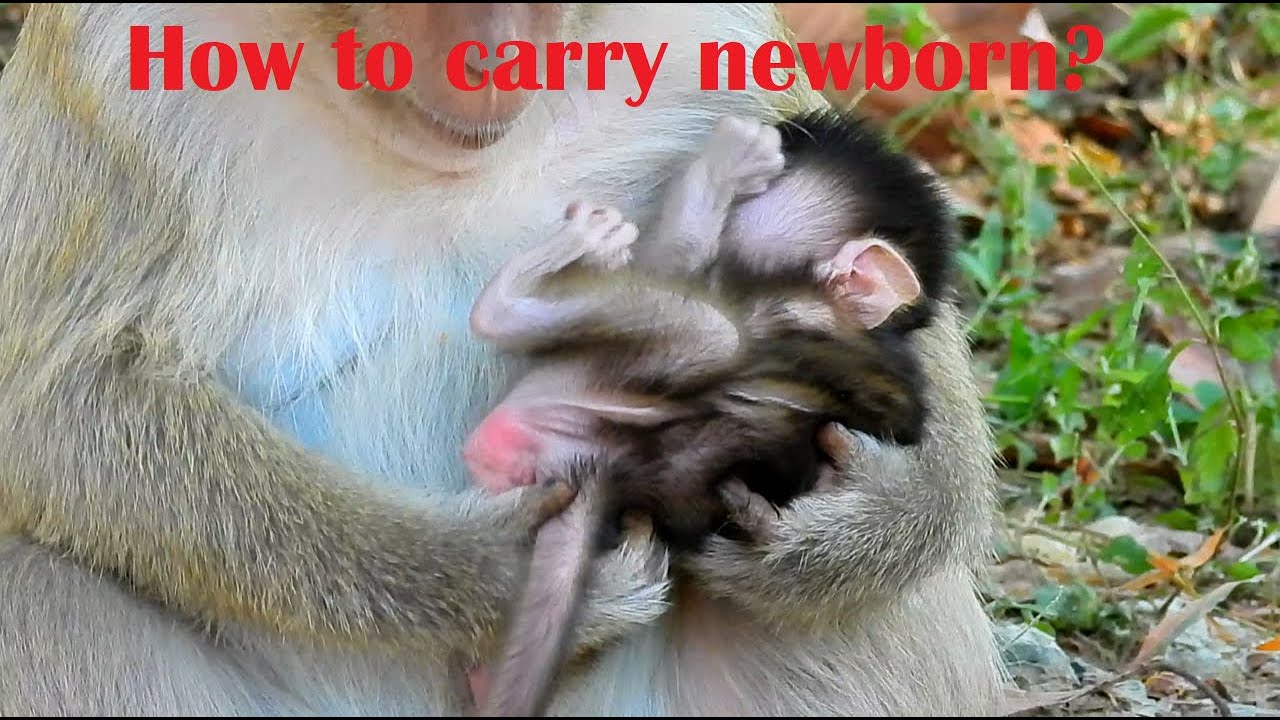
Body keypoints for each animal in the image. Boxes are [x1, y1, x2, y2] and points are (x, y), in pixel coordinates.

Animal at [463, 110, 957, 716]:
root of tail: (598, 470)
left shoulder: (779, 301)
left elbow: (678, 263)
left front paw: (723, 169)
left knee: (716, 335)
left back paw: (528, 286)